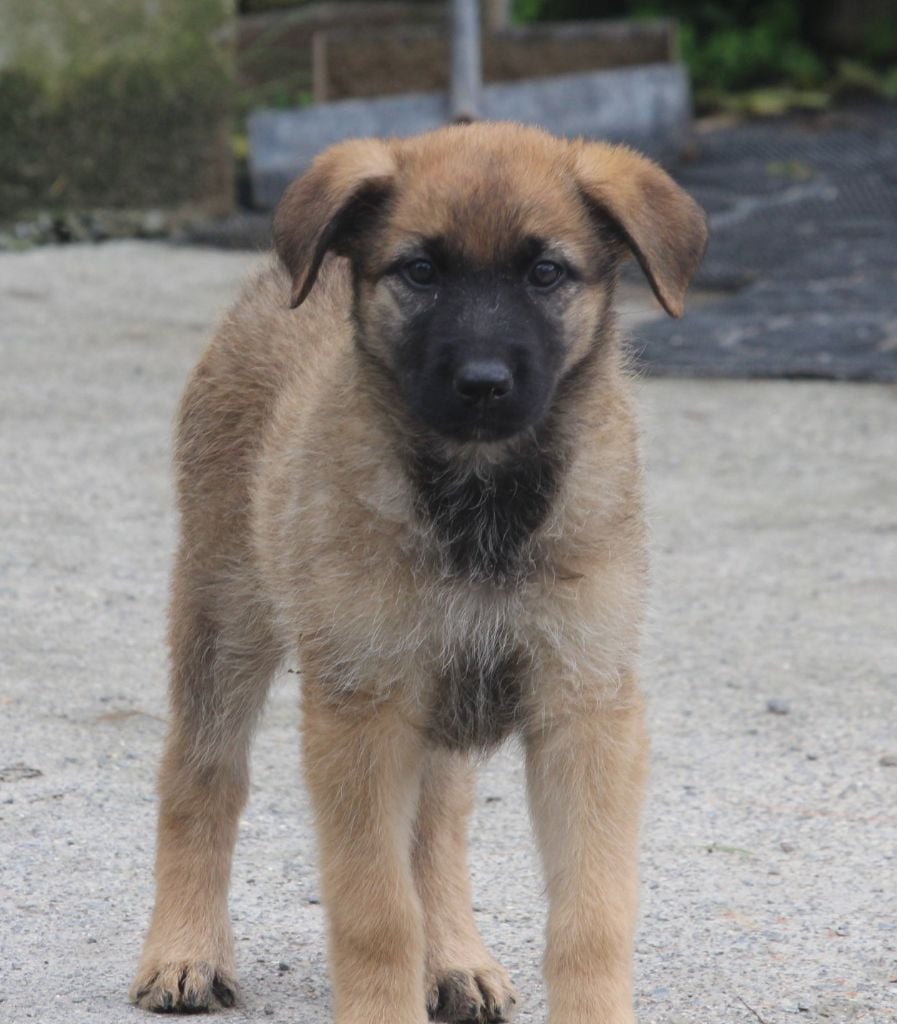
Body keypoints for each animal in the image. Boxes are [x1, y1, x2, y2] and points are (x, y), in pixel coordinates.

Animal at [131, 121, 708, 1024]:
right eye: (420, 271)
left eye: (546, 273)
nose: (482, 384)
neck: (481, 503)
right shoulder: (361, 712)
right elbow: (375, 910)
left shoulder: (584, 707)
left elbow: (592, 914)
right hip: (225, 613)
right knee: (201, 774)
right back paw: (185, 949)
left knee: (435, 826)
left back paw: (454, 959)